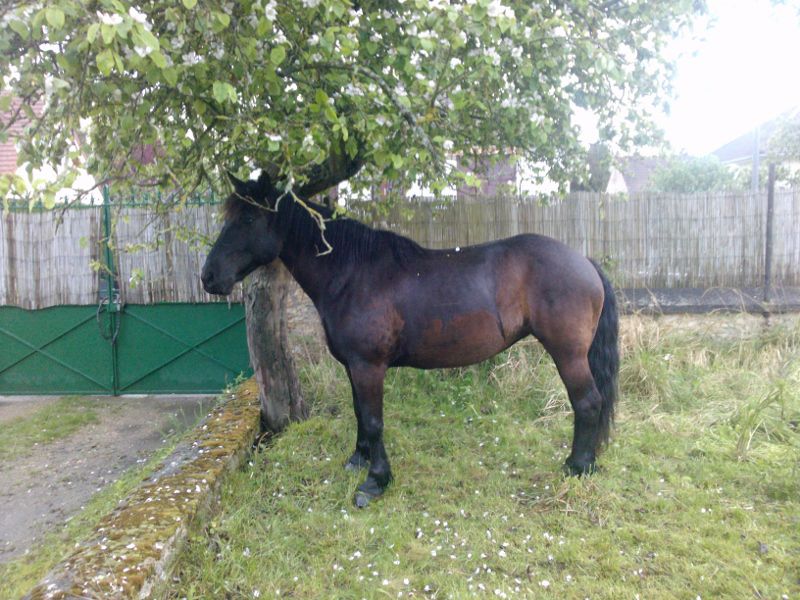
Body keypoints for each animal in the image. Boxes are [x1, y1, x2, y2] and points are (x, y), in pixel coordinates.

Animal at [201, 172, 619, 508]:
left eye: (249, 217)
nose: (209, 276)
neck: (352, 274)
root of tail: (584, 262)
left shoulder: (368, 366)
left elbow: (373, 420)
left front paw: (375, 481)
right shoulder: (354, 366)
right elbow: (359, 412)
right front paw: (358, 460)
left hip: (568, 355)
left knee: (588, 403)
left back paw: (577, 466)